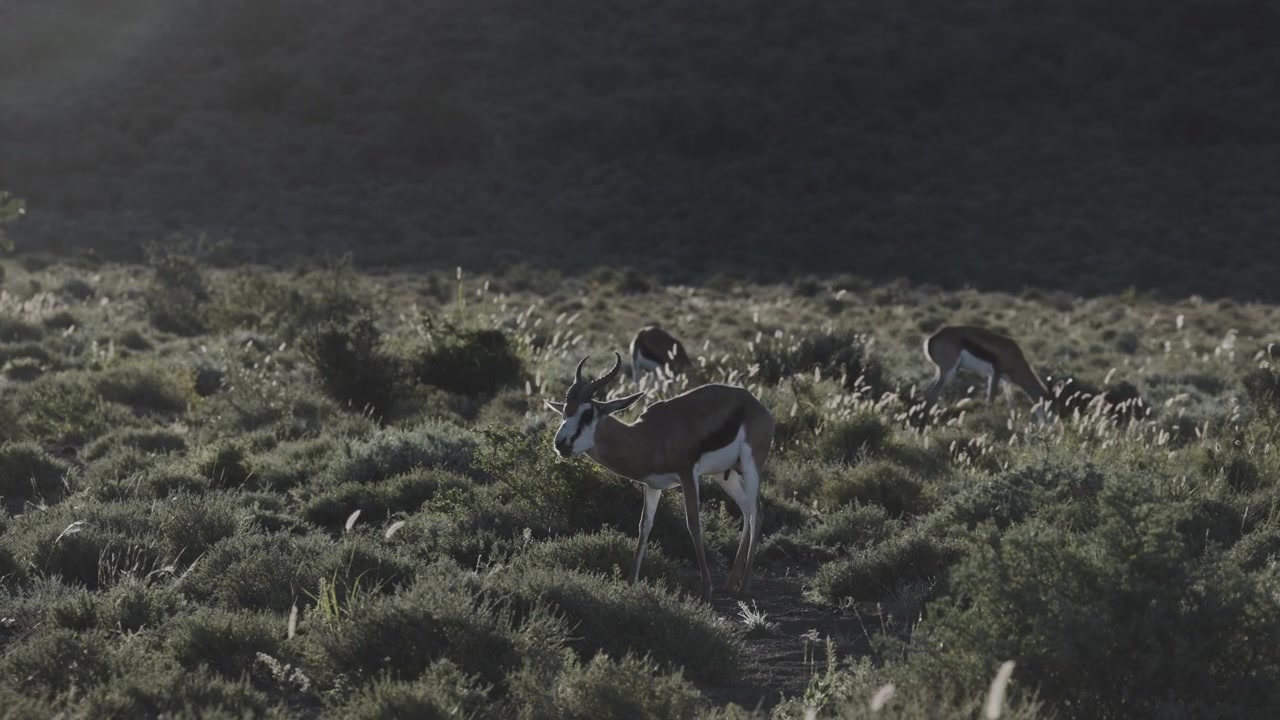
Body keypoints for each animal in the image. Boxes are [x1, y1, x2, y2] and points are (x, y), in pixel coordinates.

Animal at [545, 352, 775, 602]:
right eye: (565, 411)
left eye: (587, 414)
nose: (560, 444)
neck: (651, 436)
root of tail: (755, 403)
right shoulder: (653, 485)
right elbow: (644, 526)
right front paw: (631, 582)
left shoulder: (688, 475)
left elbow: (693, 524)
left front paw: (706, 589)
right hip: (726, 475)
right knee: (747, 511)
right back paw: (731, 582)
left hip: (751, 466)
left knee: (758, 513)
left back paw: (744, 587)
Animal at [922, 325, 1053, 422]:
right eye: (1052, 406)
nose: (1050, 426)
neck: (1015, 357)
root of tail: (931, 339)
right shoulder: (996, 373)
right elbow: (990, 400)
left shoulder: (1005, 380)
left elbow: (1011, 403)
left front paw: (1014, 421)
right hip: (949, 371)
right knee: (933, 393)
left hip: (941, 371)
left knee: (928, 392)